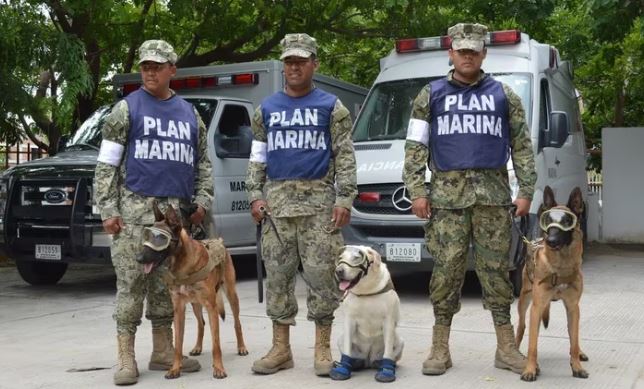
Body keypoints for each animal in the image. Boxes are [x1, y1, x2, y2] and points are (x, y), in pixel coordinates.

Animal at [142, 203, 248, 378]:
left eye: (160, 239)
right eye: (147, 237)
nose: (138, 258)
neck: (182, 265)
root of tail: (219, 241)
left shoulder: (211, 307)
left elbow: (216, 344)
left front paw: (219, 368)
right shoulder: (178, 309)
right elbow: (178, 344)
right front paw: (175, 368)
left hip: (231, 295)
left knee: (237, 323)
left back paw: (242, 347)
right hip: (195, 304)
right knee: (201, 323)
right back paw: (198, 347)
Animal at [520, 186, 588, 380]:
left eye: (567, 222)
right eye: (548, 221)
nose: (550, 241)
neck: (560, 267)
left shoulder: (573, 307)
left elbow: (573, 341)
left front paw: (577, 366)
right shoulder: (536, 308)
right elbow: (532, 345)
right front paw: (530, 369)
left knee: (573, 336)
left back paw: (579, 353)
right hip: (525, 302)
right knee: (522, 327)